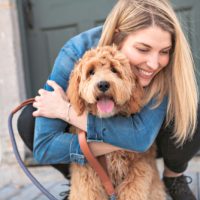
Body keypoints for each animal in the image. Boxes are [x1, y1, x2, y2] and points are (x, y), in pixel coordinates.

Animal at [66, 45, 166, 200]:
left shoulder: (138, 170)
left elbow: (133, 192)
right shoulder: (88, 174)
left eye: (114, 70)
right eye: (91, 72)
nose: (103, 84)